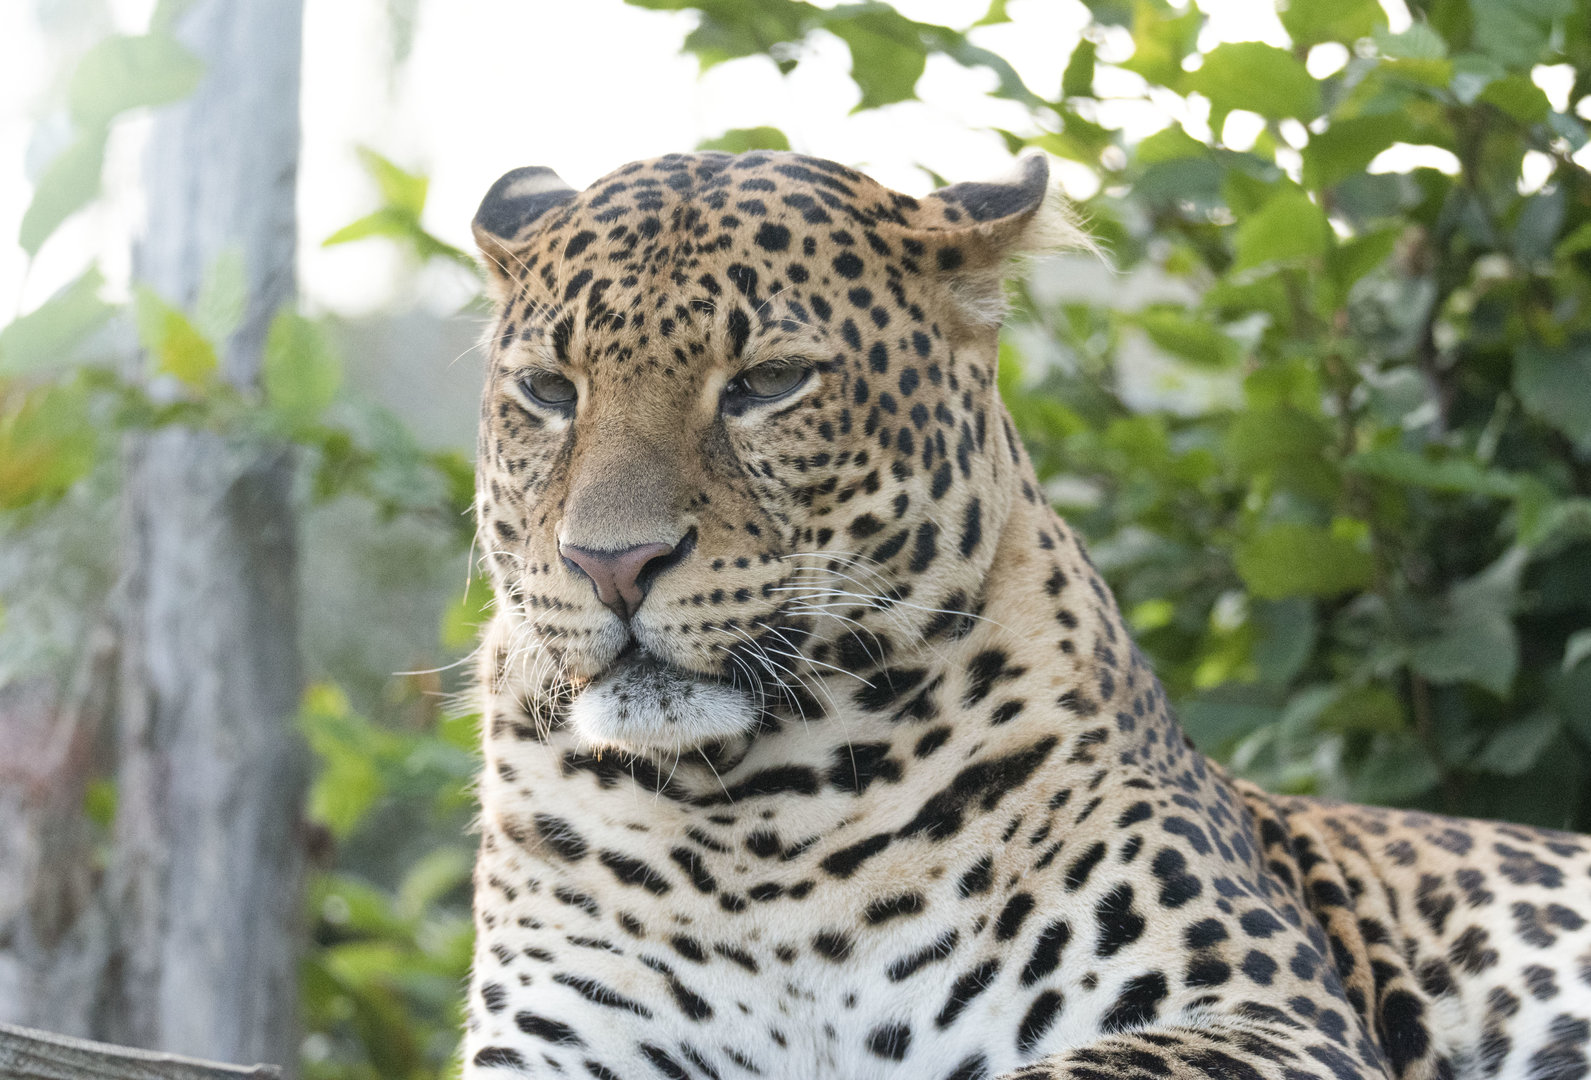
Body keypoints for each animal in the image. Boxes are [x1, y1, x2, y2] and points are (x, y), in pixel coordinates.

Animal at [461, 149, 1591, 1080]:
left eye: (769, 381)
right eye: (548, 391)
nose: (612, 564)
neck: (756, 824)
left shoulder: (1264, 1009)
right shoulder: (550, 1044)